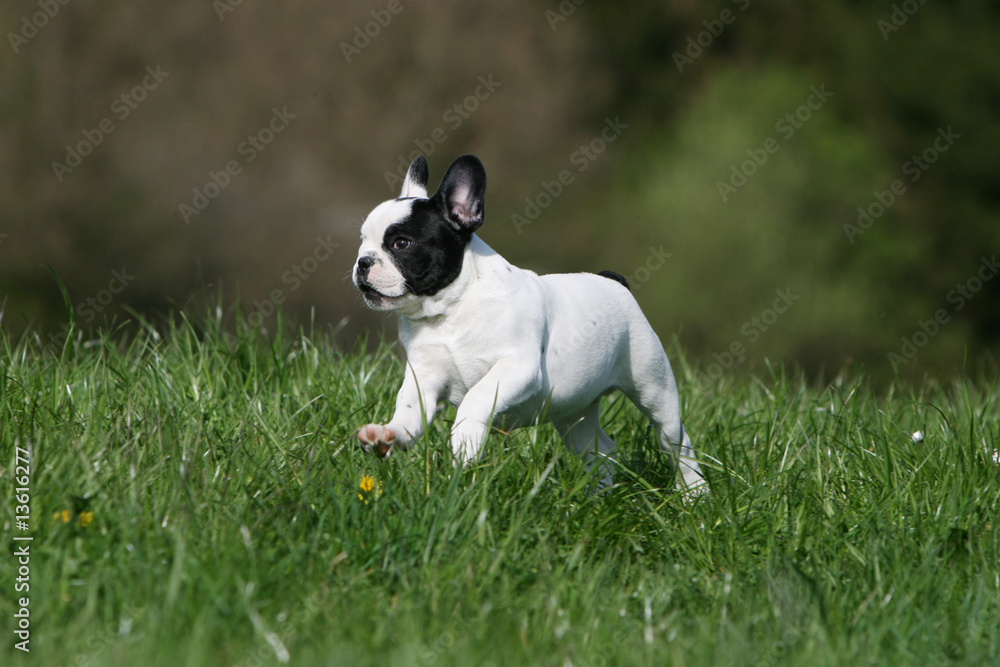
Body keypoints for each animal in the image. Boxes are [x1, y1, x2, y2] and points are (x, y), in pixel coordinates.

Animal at [352, 154, 704, 494]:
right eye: (362, 241)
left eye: (401, 244)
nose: (362, 262)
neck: (451, 310)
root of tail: (613, 280)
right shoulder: (424, 377)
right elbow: (409, 407)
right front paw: (391, 433)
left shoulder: (517, 367)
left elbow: (476, 397)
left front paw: (464, 440)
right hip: (573, 410)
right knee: (600, 450)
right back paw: (596, 499)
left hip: (653, 386)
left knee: (676, 442)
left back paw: (693, 494)